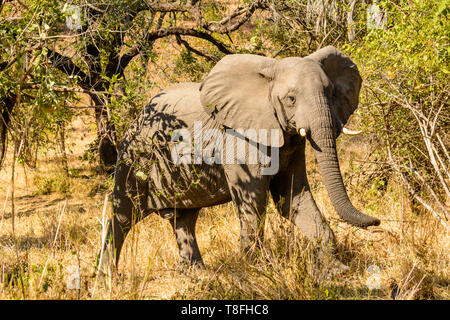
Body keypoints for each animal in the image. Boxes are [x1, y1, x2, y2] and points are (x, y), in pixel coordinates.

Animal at [97, 46, 380, 276]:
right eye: (291, 99)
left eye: (332, 93)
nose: (376, 221)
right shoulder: (240, 137)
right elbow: (253, 199)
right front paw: (256, 269)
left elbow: (292, 198)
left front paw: (337, 271)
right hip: (133, 156)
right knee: (123, 215)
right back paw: (107, 280)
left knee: (184, 218)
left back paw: (196, 274)